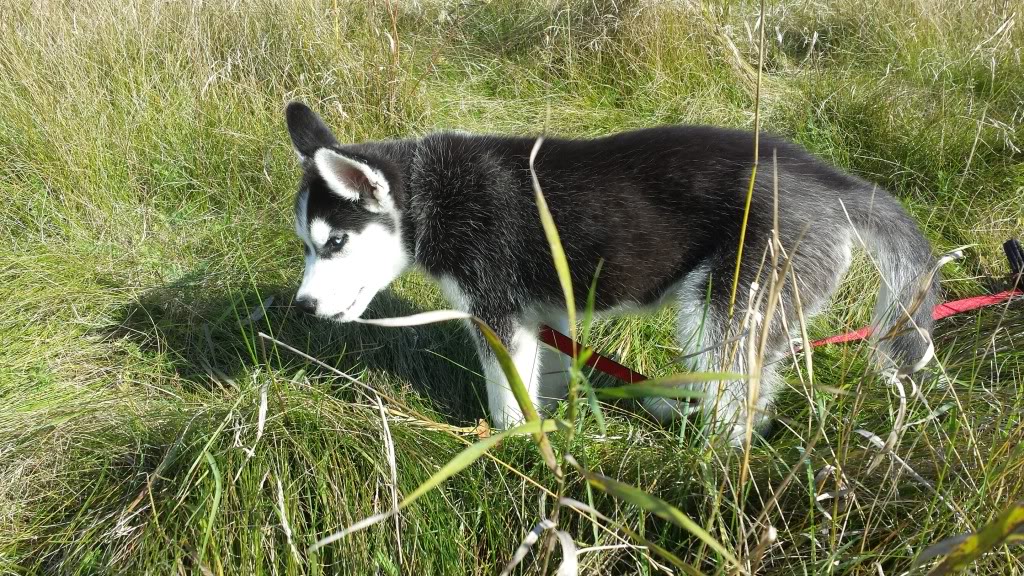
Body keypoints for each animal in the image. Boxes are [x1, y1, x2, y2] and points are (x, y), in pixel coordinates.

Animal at [284, 100, 937, 440]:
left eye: (336, 242)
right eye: (306, 246)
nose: (303, 308)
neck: (430, 195)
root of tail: (833, 183)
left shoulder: (497, 313)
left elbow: (507, 397)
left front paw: (512, 451)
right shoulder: (542, 317)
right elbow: (543, 380)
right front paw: (547, 426)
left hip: (722, 313)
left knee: (735, 405)